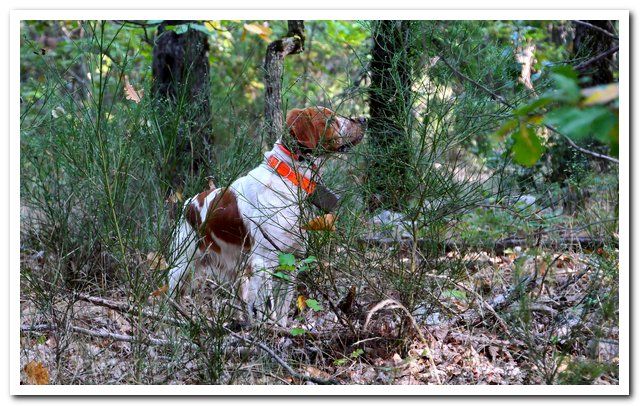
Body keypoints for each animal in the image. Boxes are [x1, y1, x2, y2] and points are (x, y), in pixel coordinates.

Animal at [166, 106, 364, 326]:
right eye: (330, 120)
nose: (363, 120)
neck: (287, 178)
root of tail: (188, 204)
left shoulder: (291, 258)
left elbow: (282, 308)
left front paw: (281, 330)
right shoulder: (263, 262)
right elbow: (268, 308)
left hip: (236, 271)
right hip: (181, 266)